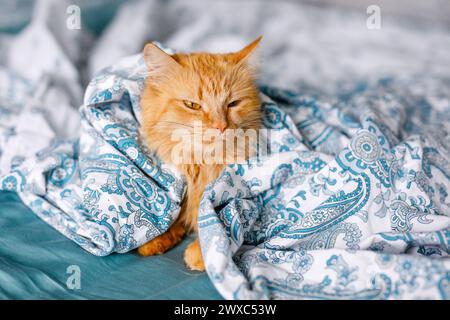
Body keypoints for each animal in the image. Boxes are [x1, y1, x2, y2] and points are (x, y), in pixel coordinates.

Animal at [138, 38, 264, 272]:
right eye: (192, 105)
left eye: (233, 104)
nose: (221, 127)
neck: (203, 165)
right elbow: (173, 219)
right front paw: (156, 239)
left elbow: (220, 223)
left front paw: (204, 253)